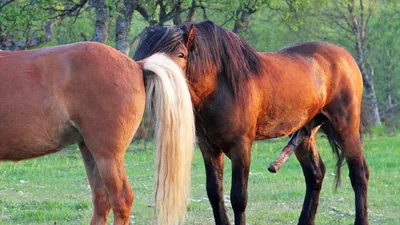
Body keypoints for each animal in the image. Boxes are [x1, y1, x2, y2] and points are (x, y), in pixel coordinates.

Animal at [135, 20, 372, 224]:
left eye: (181, 54)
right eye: (145, 55)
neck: (220, 87)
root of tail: (345, 57)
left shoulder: (241, 147)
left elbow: (239, 198)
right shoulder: (208, 147)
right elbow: (215, 193)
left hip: (346, 127)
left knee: (359, 174)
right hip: (305, 133)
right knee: (315, 173)